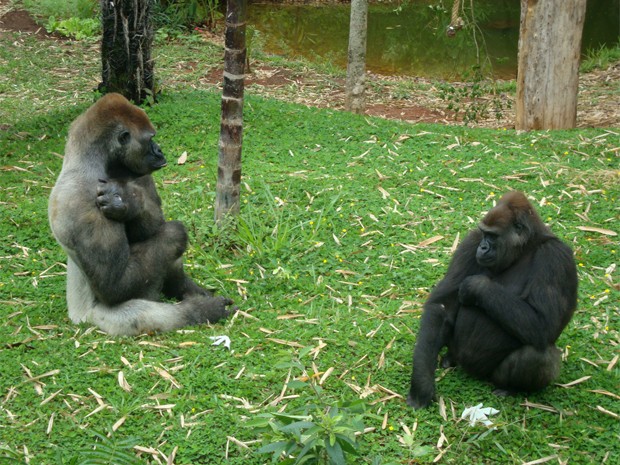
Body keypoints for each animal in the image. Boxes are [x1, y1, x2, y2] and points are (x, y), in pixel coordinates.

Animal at [48, 93, 236, 334]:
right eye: (150, 139)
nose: (160, 151)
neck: (90, 163)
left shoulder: (137, 172)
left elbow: (151, 224)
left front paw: (129, 202)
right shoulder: (83, 200)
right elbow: (114, 285)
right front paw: (175, 233)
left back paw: (185, 288)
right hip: (92, 319)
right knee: (142, 313)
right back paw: (200, 310)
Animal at [410, 190, 580, 408]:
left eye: (493, 236)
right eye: (484, 234)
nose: (483, 248)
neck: (525, 248)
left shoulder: (556, 257)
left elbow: (544, 323)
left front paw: (477, 287)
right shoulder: (471, 241)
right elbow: (442, 306)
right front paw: (422, 383)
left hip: (493, 375)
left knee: (538, 354)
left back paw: (511, 388)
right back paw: (450, 359)